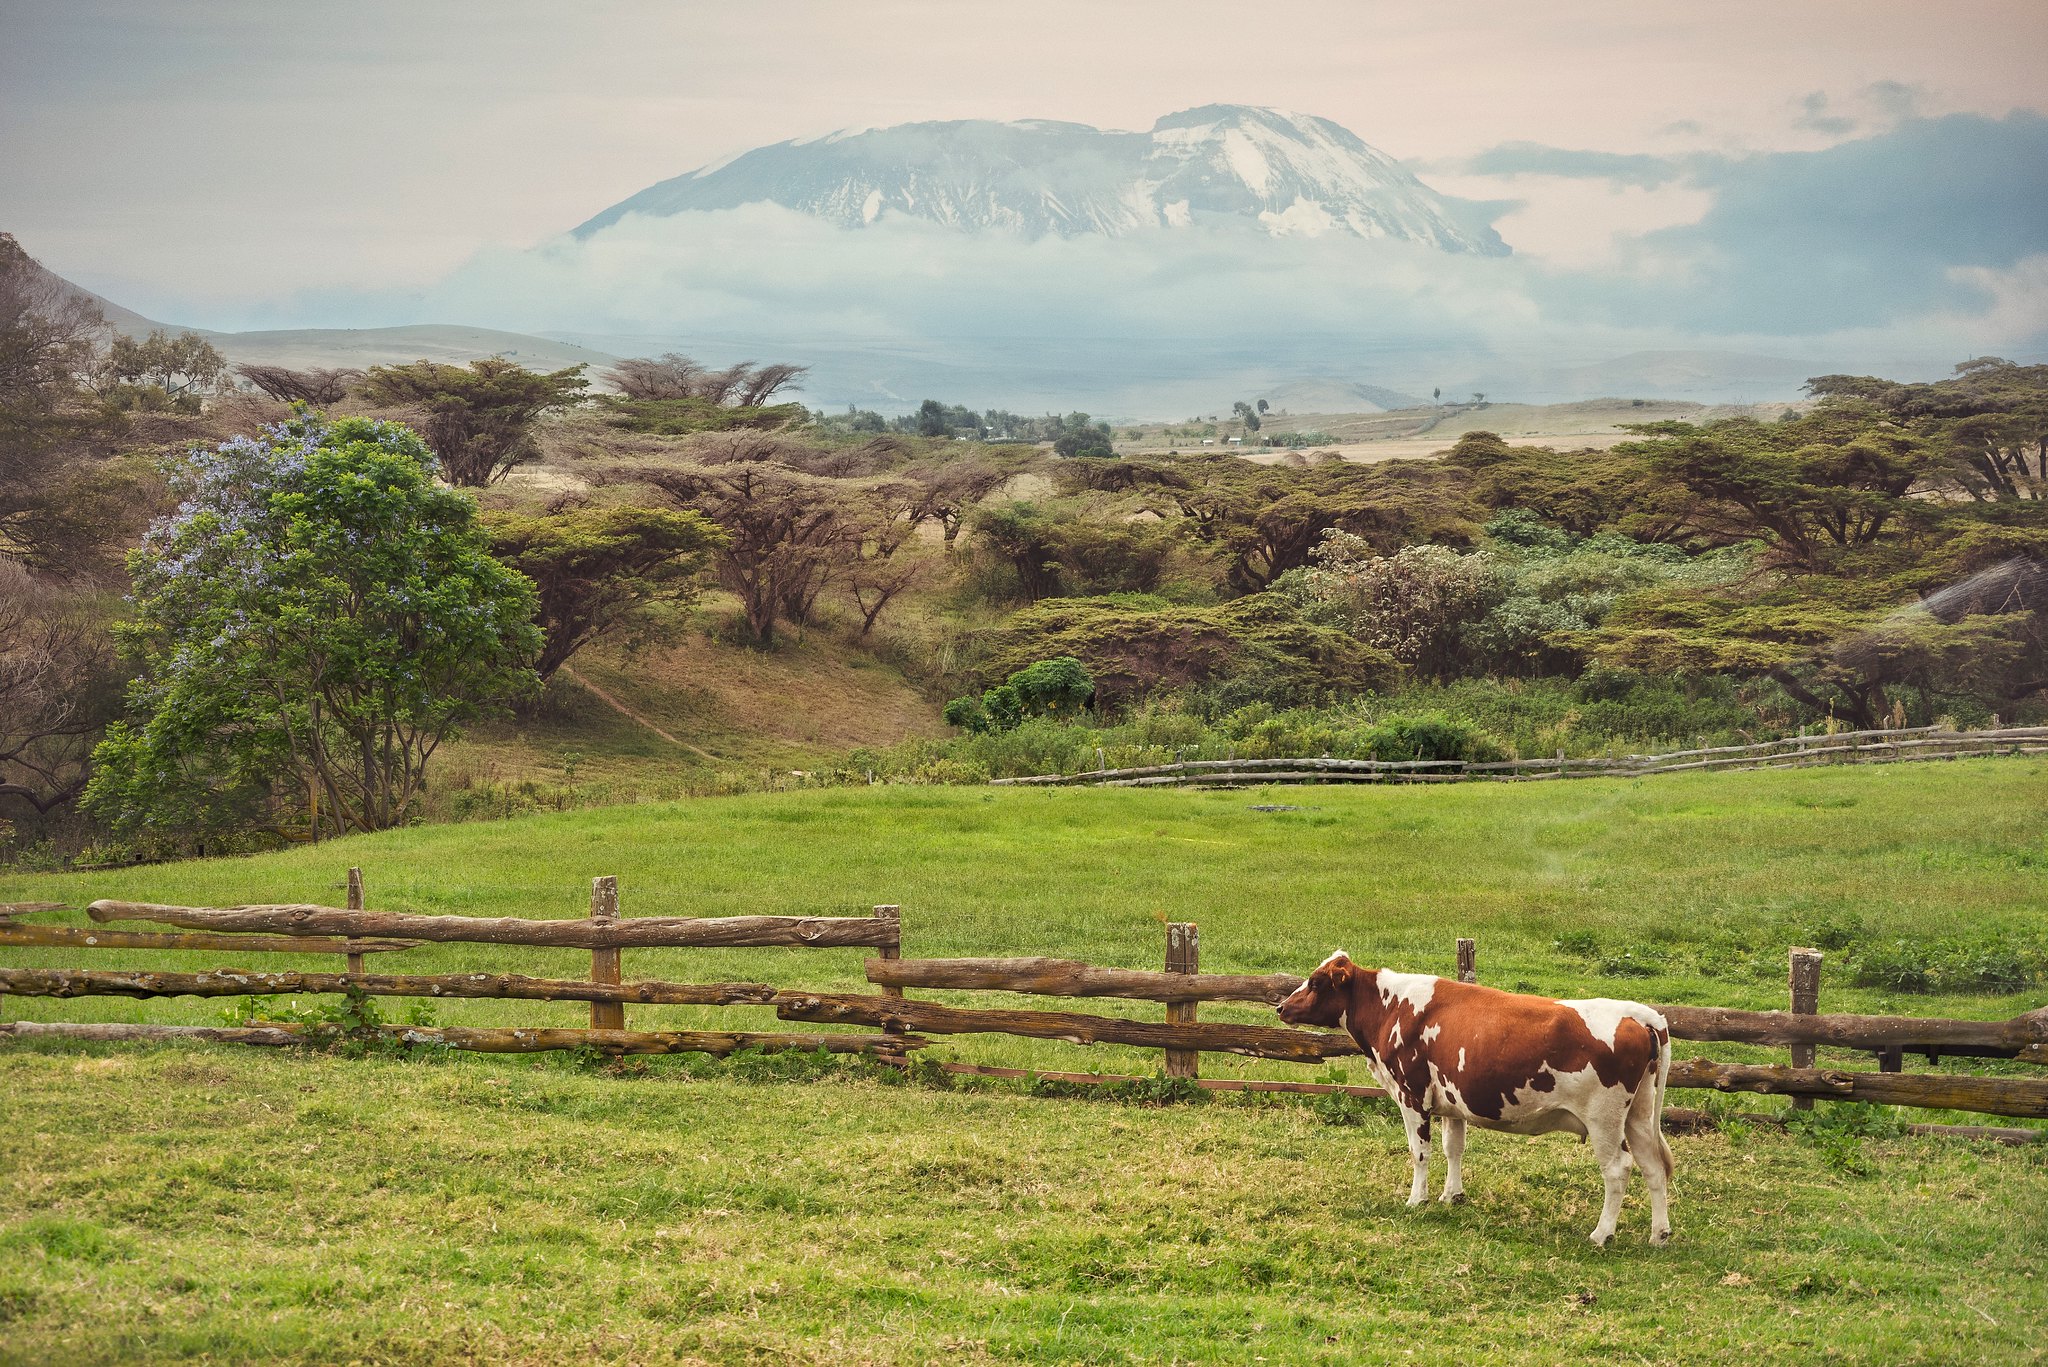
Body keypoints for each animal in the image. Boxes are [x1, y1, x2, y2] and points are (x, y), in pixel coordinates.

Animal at [1277, 950, 1679, 1254]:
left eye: (1316, 982)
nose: (1281, 1007)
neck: (1390, 1006)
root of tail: (1640, 1014)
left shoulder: (1411, 1095)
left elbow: (1420, 1153)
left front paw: (1417, 1200)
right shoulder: (1451, 1102)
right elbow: (1453, 1147)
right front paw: (1451, 1195)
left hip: (1604, 1119)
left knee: (1618, 1169)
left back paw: (1601, 1234)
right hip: (1640, 1115)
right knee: (1653, 1167)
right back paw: (1659, 1235)